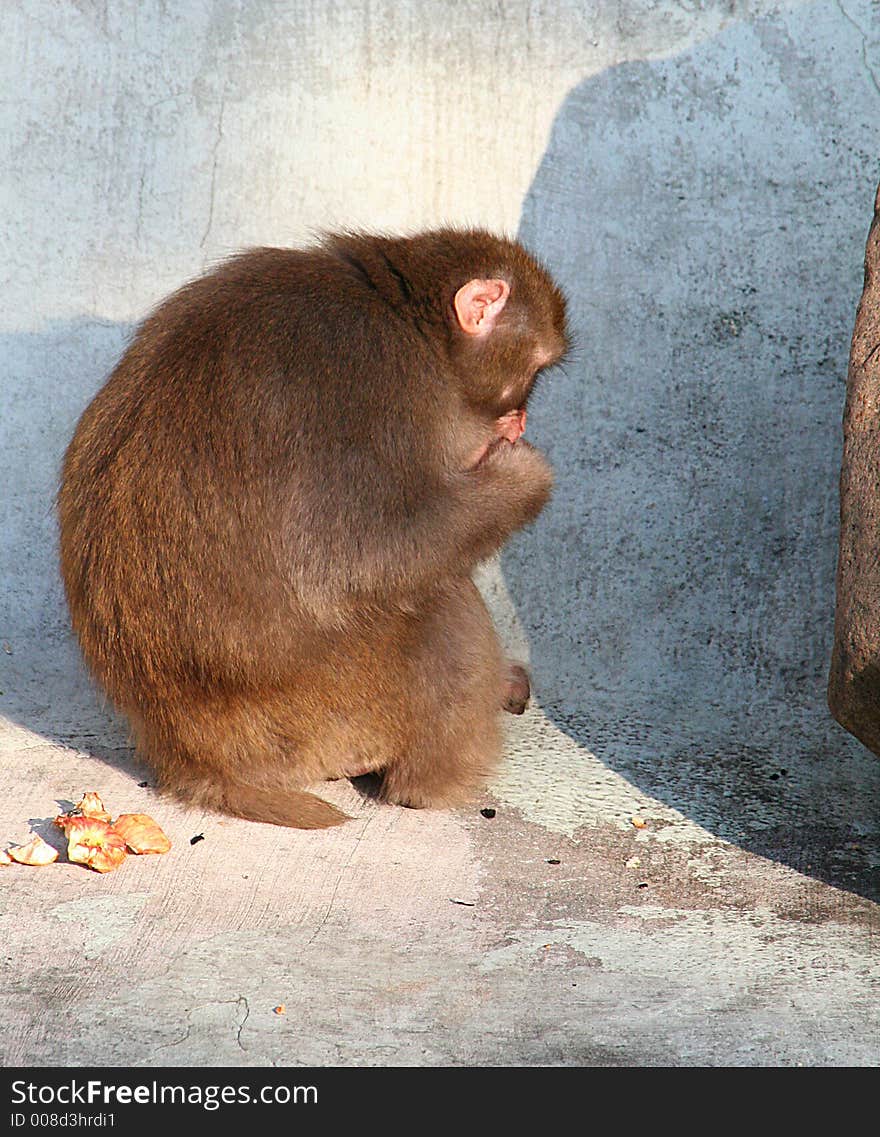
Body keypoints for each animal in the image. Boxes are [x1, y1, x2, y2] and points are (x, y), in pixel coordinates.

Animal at [61, 228, 573, 827]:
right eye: (535, 371)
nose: (520, 418)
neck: (409, 322)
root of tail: (189, 755)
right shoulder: (374, 379)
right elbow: (359, 556)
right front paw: (525, 474)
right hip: (324, 708)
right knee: (441, 607)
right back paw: (426, 787)